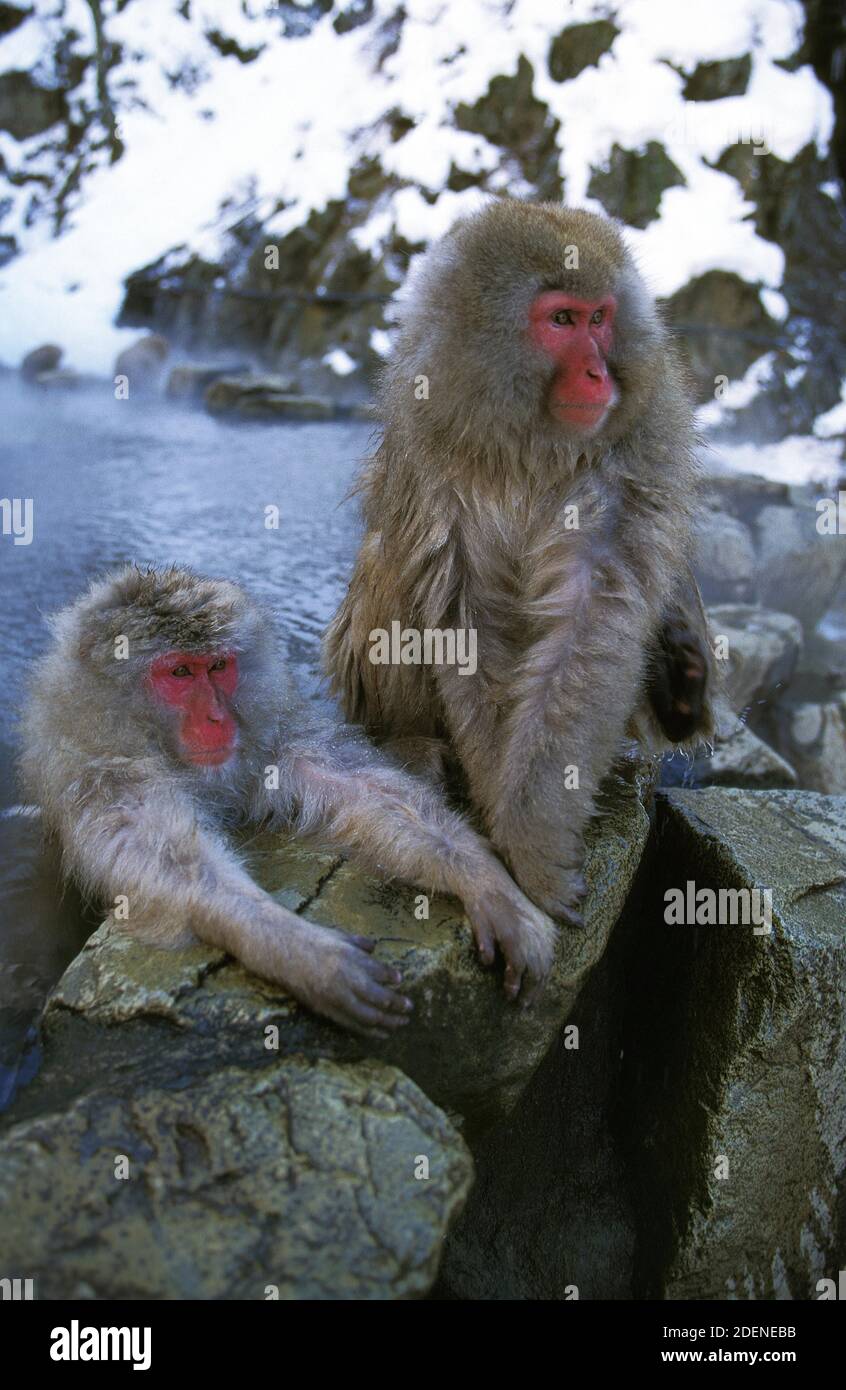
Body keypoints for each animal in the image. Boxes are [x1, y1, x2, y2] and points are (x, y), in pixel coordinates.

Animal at [18, 565, 556, 1039]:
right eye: (179, 672)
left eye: (218, 666)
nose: (217, 719)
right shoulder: (105, 773)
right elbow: (169, 862)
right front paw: (299, 951)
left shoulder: (271, 737)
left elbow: (367, 791)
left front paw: (488, 884)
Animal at [324, 198, 715, 925]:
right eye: (561, 320)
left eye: (600, 318)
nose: (598, 374)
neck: (531, 443)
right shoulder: (430, 449)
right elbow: (465, 613)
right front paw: (512, 836)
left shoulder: (639, 448)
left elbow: (592, 623)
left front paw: (530, 838)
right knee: (390, 559)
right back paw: (407, 740)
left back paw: (680, 686)